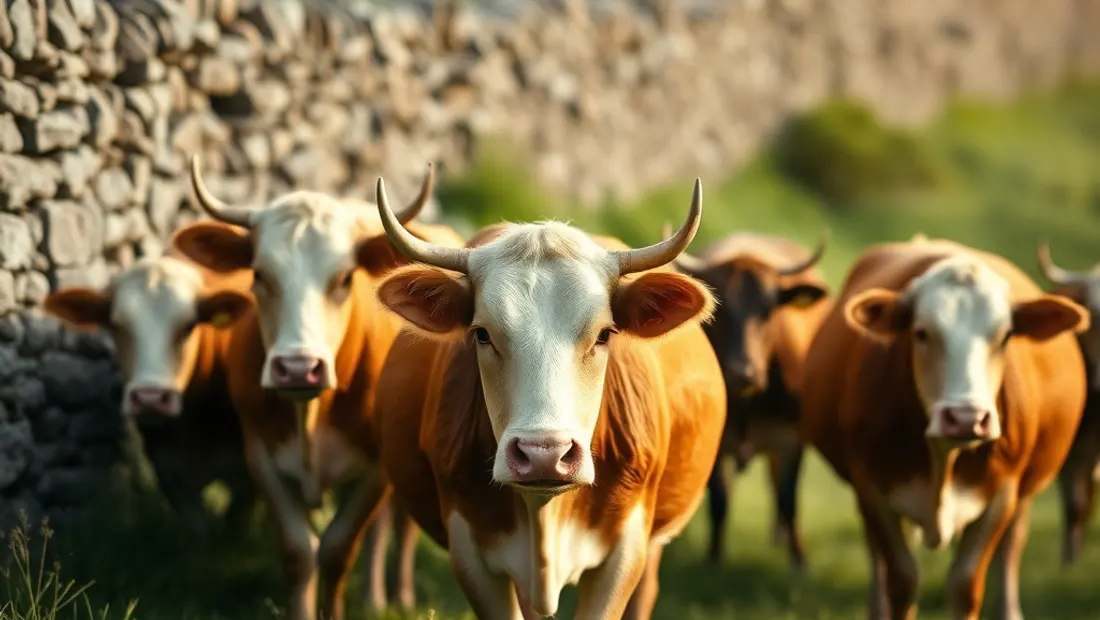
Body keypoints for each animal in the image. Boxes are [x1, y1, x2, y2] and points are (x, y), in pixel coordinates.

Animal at [42, 253, 258, 537]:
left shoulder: (249, 475)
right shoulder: (170, 471)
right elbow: (200, 531)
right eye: (115, 326)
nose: (150, 398)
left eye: (188, 326)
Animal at [170, 157, 464, 620]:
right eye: (259, 275)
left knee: (396, 525)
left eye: (344, 279)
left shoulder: (376, 469)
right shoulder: (262, 457)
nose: (297, 368)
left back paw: (394, 595)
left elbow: (338, 549)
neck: (311, 416)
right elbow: (298, 553)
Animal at [667, 227, 831, 570]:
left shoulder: (792, 437)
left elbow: (788, 498)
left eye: (768, 311)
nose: (744, 372)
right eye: (718, 310)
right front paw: (715, 557)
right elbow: (719, 500)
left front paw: (800, 559)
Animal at [802, 237, 1089, 620]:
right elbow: (902, 579)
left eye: (1005, 336)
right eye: (921, 332)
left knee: (1011, 548)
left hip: (1025, 491)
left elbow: (965, 584)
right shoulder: (872, 489)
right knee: (876, 556)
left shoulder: (1002, 493)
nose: (966, 417)